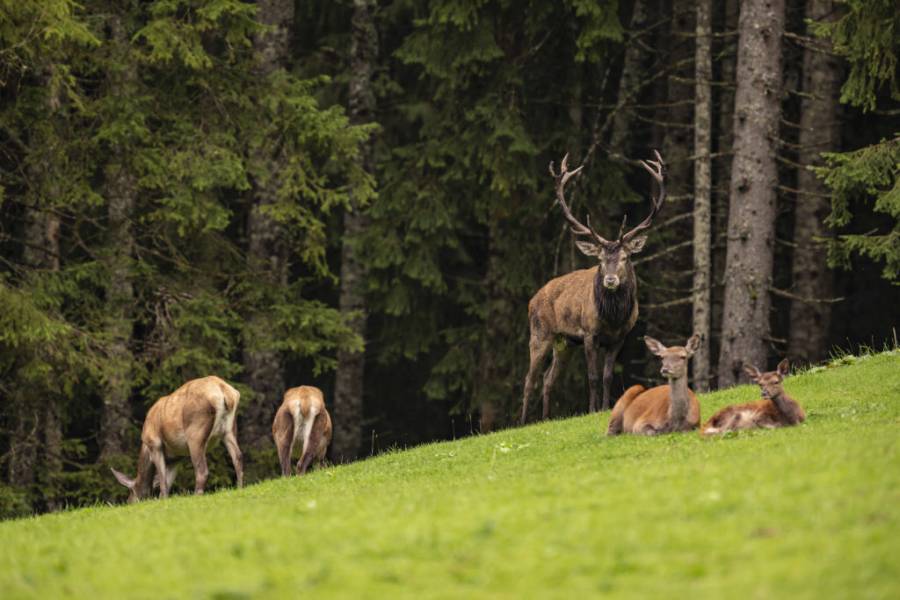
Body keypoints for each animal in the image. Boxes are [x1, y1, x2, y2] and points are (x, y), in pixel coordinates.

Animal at [109, 376, 243, 502]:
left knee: (202, 470)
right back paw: (239, 488)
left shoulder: (155, 444)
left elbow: (163, 480)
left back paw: (196, 495)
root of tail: (225, 391)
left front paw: (162, 500)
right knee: (238, 458)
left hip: (195, 432)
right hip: (229, 430)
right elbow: (168, 481)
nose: (129, 502)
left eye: (131, 491)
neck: (145, 448)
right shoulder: (176, 458)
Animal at [520, 150, 668, 424]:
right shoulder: (589, 334)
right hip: (540, 333)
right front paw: (591, 409)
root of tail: (532, 299)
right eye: (599, 259)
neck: (612, 317)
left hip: (564, 342)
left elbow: (608, 376)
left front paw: (607, 407)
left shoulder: (620, 337)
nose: (610, 280)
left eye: (625, 257)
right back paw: (523, 422)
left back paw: (546, 418)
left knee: (548, 378)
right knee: (530, 378)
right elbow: (593, 376)